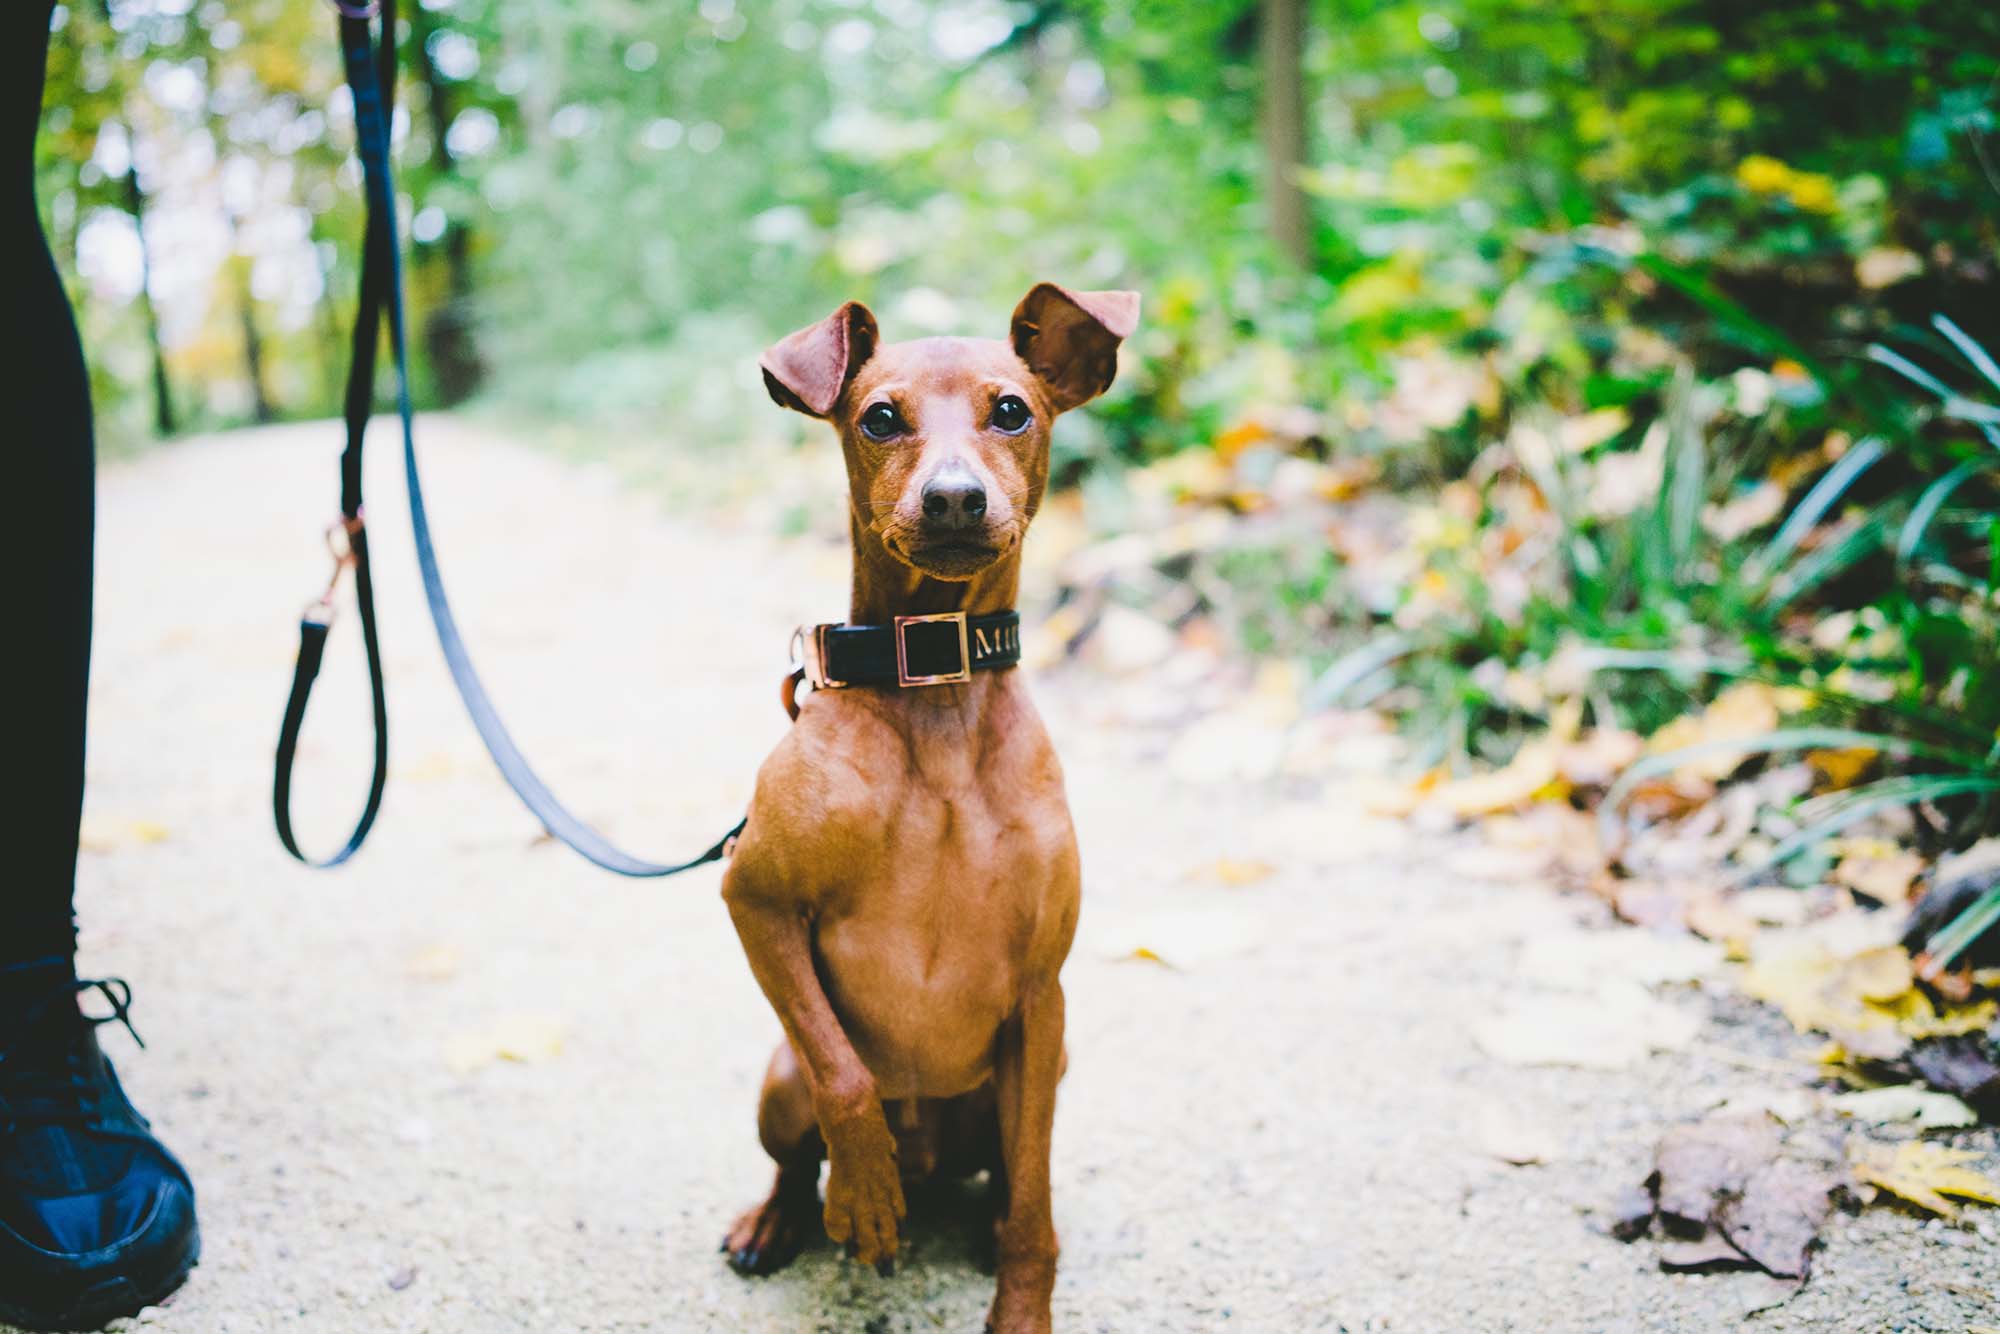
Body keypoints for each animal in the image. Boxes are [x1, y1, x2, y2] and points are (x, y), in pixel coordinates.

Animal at [720, 284, 1136, 1334]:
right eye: (879, 419)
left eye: (1011, 410)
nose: (953, 497)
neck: (936, 685)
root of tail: (935, 1164)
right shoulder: (754, 898)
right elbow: (848, 1079)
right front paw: (863, 1191)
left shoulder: (1041, 1003)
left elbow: (1036, 1205)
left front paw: (1022, 1304)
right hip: (776, 1079)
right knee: (797, 1150)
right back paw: (782, 1218)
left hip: (1029, 1082)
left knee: (1007, 1181)